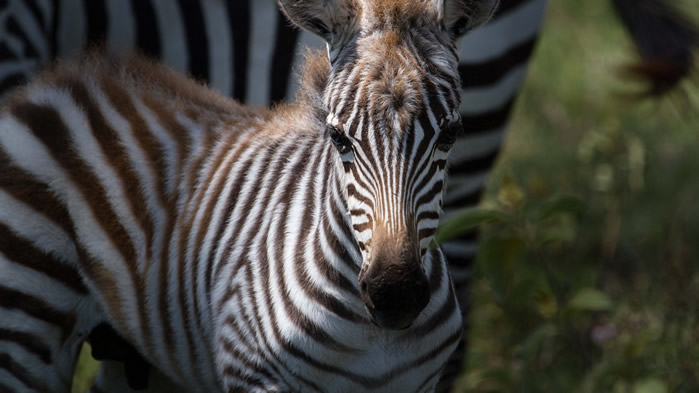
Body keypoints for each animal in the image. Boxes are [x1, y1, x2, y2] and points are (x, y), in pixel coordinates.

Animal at [0, 0, 498, 392]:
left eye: (450, 134)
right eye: (338, 138)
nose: (395, 297)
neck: (371, 336)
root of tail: (57, 82)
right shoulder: (256, 375)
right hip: (26, 316)